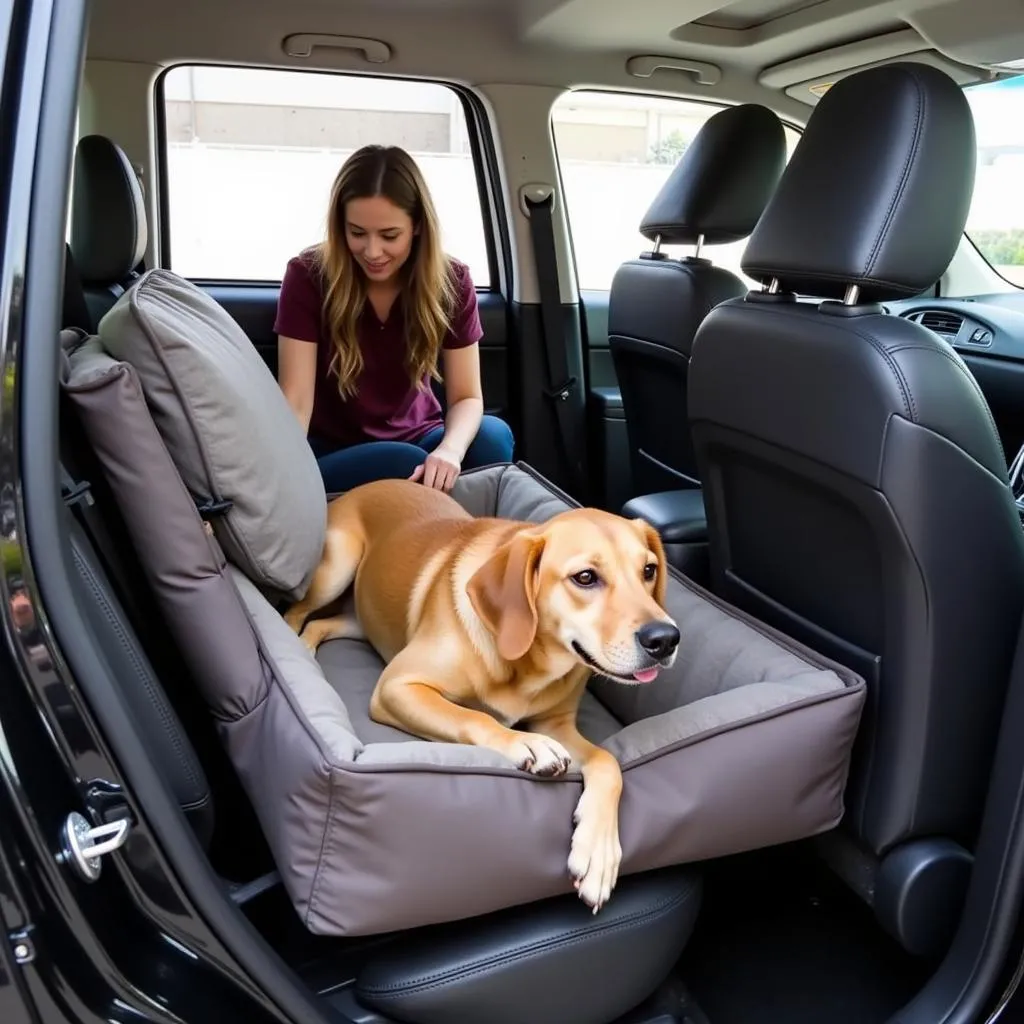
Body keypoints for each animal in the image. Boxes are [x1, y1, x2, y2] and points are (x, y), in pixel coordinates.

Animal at [282, 479, 679, 913]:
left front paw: (599, 853)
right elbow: (475, 717)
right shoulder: (396, 687)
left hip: (359, 620)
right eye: (586, 577)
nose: (665, 638)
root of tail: (366, 485)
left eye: (648, 570)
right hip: (336, 569)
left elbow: (608, 763)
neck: (528, 664)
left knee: (322, 624)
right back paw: (295, 646)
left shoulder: (556, 724)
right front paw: (525, 744)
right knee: (295, 612)